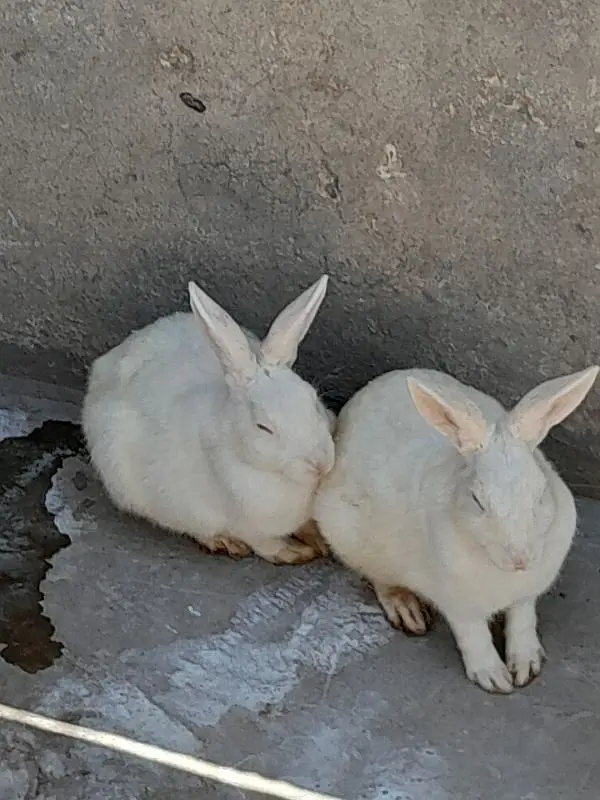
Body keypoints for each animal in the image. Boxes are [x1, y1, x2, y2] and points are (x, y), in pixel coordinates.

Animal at [82, 275, 336, 565]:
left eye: (314, 400)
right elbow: (268, 545)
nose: (320, 464)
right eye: (263, 427)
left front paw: (319, 540)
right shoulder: (250, 528)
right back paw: (224, 542)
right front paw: (296, 553)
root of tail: (104, 366)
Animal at [314, 365, 599, 693]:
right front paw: (495, 679)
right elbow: (474, 637)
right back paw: (408, 611)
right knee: (380, 581)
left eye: (541, 493)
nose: (520, 560)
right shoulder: (458, 605)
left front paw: (526, 667)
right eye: (477, 500)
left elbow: (522, 623)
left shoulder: (526, 597)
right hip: (352, 539)